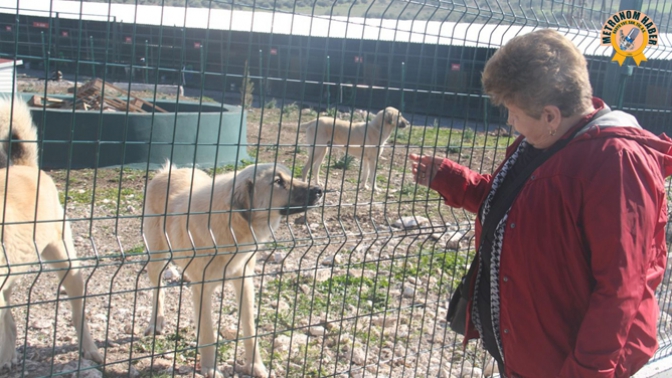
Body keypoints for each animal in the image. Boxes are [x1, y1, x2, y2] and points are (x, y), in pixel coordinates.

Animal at [0, 97, 102, 370]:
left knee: (78, 313)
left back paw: (90, 349)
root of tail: (24, 167)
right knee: (10, 324)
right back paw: (8, 356)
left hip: (66, 261)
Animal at [142, 161, 322, 376]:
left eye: (290, 176)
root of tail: (169, 170)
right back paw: (156, 321)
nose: (319, 190)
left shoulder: (244, 281)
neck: (233, 226)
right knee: (157, 288)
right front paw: (210, 368)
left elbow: (250, 329)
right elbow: (207, 334)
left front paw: (256, 366)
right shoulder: (202, 289)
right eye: (278, 181)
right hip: (156, 258)